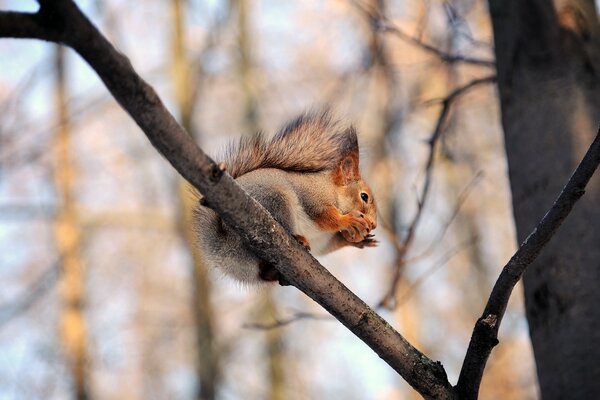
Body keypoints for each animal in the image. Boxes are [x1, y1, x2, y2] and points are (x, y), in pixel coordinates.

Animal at [195, 112, 378, 284]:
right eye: (364, 196)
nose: (374, 225)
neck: (332, 190)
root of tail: (222, 243)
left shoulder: (323, 240)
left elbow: (330, 245)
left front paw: (358, 240)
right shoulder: (313, 197)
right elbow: (323, 216)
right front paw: (349, 220)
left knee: (263, 273)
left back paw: (272, 272)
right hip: (276, 201)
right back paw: (298, 239)